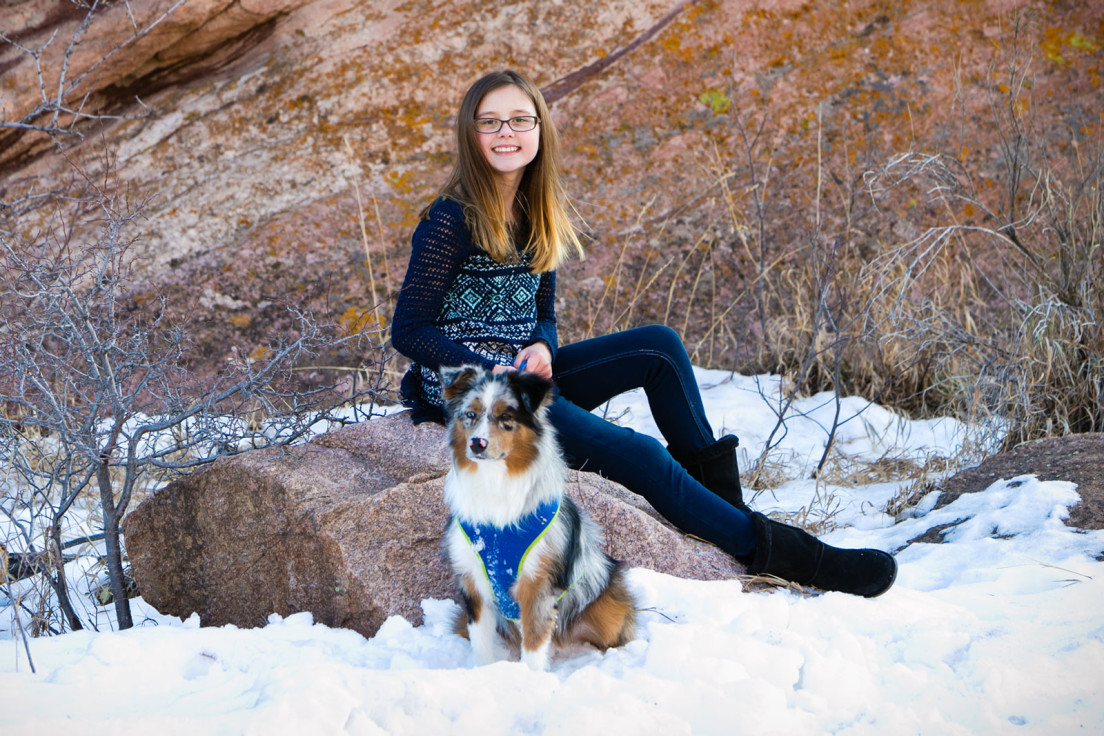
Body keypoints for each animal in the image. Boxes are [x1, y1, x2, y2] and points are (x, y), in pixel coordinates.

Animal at [434, 366, 635, 670]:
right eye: (470, 414)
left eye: (506, 417)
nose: (477, 443)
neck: (495, 484)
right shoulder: (473, 580)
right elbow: (481, 644)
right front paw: (482, 672)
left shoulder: (536, 582)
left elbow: (534, 642)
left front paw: (530, 677)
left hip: (606, 607)